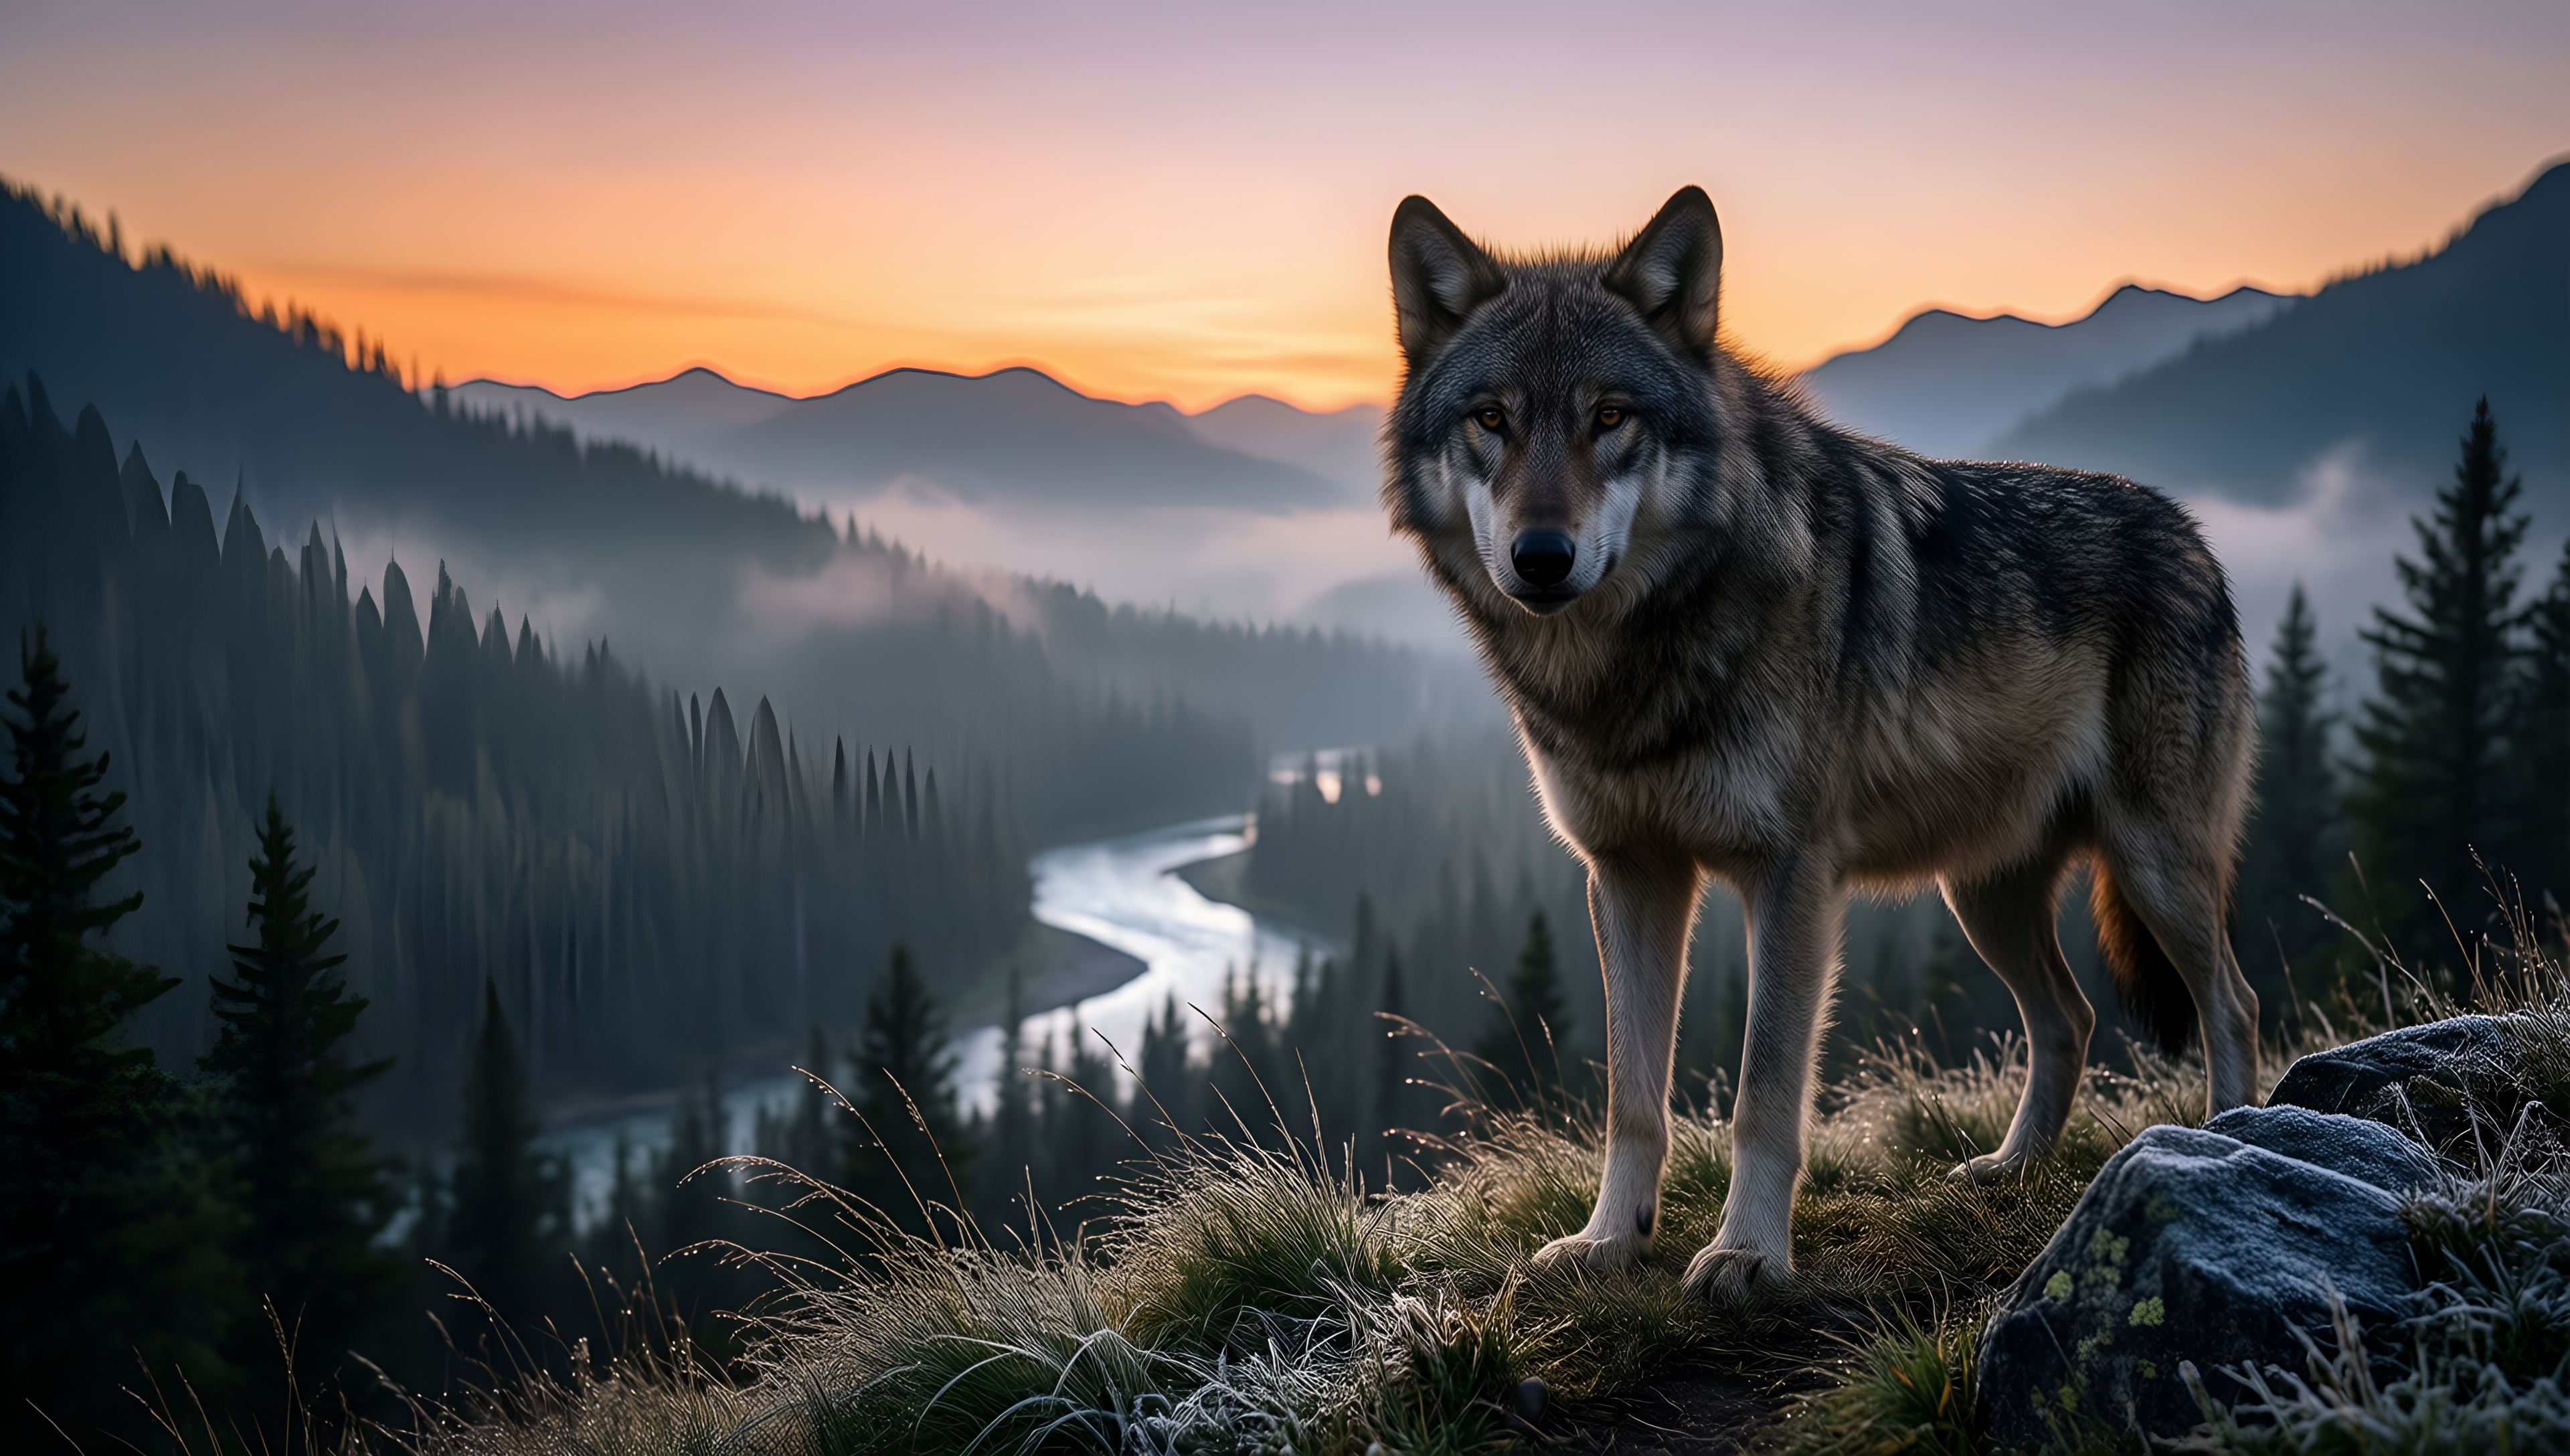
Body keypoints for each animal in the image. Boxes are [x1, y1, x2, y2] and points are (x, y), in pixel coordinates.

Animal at [1382, 187, 2260, 1300]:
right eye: (1490, 419)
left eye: (1610, 417)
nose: (1543, 557)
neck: (1638, 666)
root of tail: (2195, 538)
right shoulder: (1629, 874)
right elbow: (1633, 1095)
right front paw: (1610, 1243)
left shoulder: (1789, 877)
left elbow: (1763, 1093)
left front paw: (1747, 1255)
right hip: (1982, 895)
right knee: (2071, 1020)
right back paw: (2012, 1169)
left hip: (2152, 867)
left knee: (2232, 1001)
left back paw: (2229, 1144)